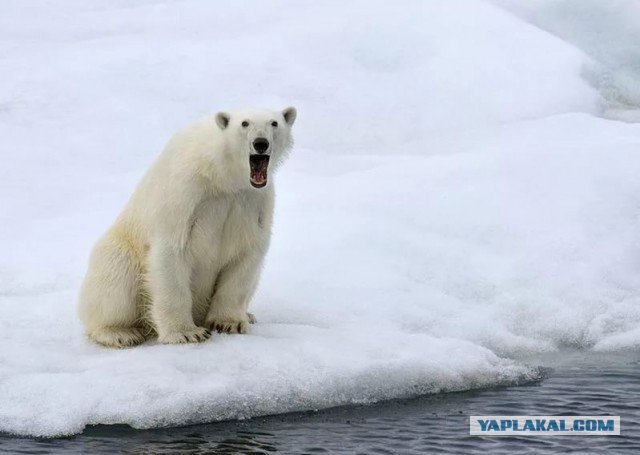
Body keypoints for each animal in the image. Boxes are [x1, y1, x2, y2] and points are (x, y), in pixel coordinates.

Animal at [79, 108, 296, 350]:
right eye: (244, 123)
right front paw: (186, 333)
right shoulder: (186, 193)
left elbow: (246, 257)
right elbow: (172, 251)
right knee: (115, 274)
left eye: (274, 123)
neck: (221, 175)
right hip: (121, 247)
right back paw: (120, 333)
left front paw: (230, 322)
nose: (260, 143)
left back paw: (249, 315)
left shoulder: (253, 202)